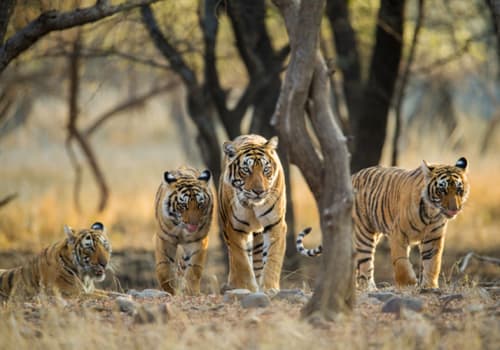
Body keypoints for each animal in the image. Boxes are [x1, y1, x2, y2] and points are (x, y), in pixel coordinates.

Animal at [154, 167, 213, 296]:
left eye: (200, 205)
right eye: (183, 205)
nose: (193, 224)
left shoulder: (198, 241)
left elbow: (194, 269)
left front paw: (192, 291)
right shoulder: (164, 239)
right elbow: (164, 268)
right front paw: (170, 290)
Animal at [219, 135, 286, 292]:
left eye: (266, 169)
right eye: (246, 170)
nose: (259, 191)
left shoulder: (275, 224)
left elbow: (273, 258)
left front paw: (269, 288)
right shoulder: (235, 228)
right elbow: (241, 260)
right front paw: (246, 287)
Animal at [296, 157, 468, 290]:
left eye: (459, 190)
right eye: (442, 190)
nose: (454, 209)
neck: (431, 212)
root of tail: (352, 176)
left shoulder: (433, 237)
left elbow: (432, 263)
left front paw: (429, 286)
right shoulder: (398, 234)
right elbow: (400, 262)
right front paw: (408, 283)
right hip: (364, 234)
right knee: (365, 265)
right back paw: (369, 289)